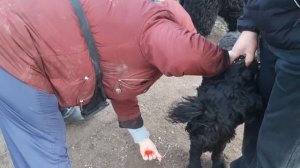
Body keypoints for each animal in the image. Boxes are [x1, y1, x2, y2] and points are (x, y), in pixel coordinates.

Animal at [168, 33, 264, 167]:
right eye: (203, 126)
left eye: (218, 129)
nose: (206, 144)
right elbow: (195, 151)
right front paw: (194, 164)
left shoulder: (224, 134)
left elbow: (218, 150)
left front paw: (218, 163)